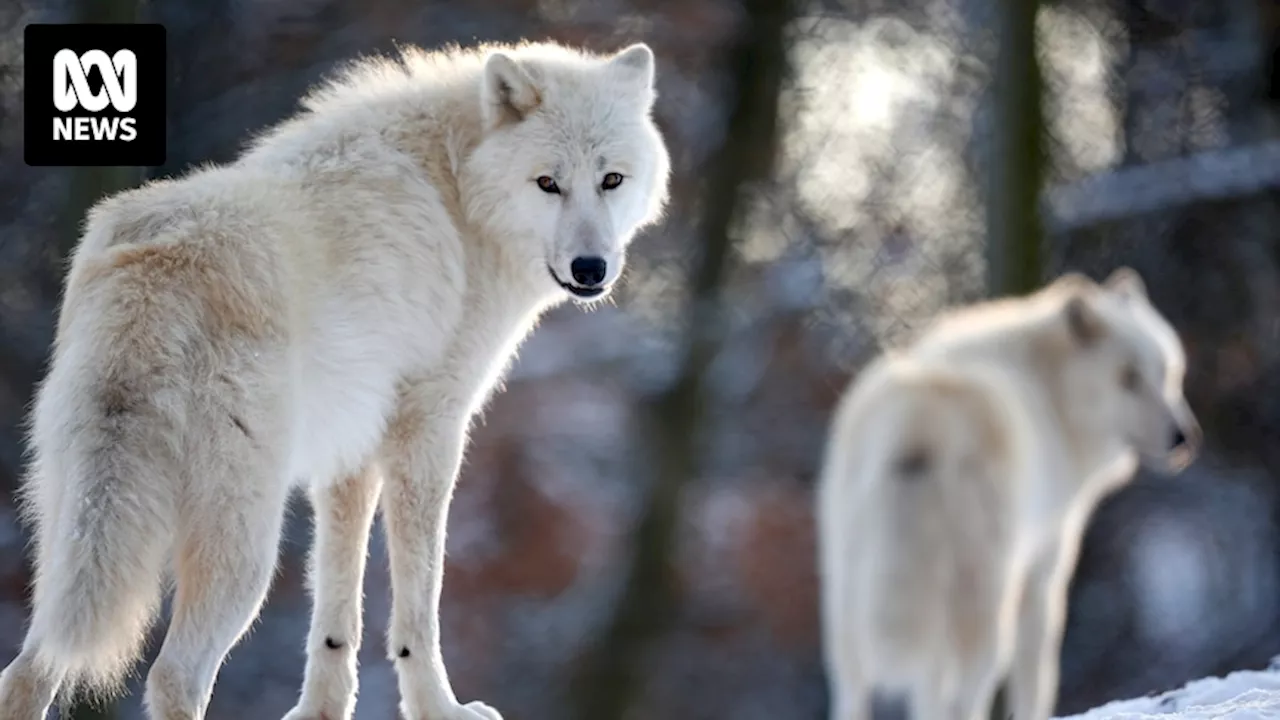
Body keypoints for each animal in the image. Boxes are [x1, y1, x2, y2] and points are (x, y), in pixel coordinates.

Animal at [0, 37, 675, 717]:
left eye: (612, 179)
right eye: (548, 184)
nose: (590, 269)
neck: (458, 187)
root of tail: (151, 276)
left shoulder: (350, 447)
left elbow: (336, 603)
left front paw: (321, 709)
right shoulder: (429, 428)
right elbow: (420, 602)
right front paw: (439, 708)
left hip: (75, 534)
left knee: (29, 670)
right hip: (243, 547)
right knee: (172, 677)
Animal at [819, 267, 1198, 717]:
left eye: (1168, 373)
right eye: (1128, 379)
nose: (1183, 439)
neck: (1053, 394)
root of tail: (920, 421)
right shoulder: (1044, 570)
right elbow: (1036, 678)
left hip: (850, 608)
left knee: (857, 691)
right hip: (984, 610)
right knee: (964, 694)